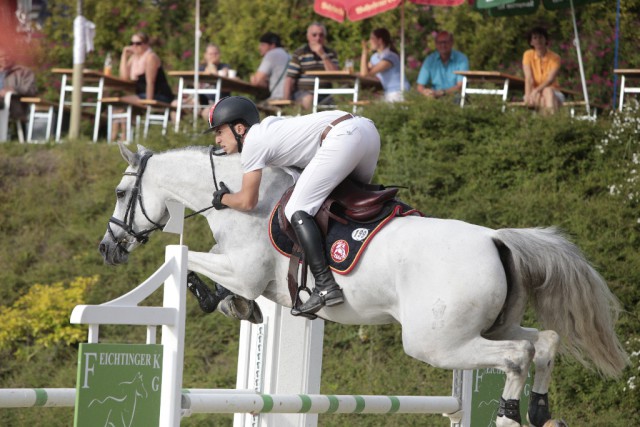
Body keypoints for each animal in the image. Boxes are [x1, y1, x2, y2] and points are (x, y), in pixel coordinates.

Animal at [101, 145, 632, 427]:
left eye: (122, 193)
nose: (109, 249)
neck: (237, 195)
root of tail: (496, 239)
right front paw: (237, 307)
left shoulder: (244, 268)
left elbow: (194, 263)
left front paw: (216, 297)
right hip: (489, 327)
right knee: (545, 342)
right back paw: (539, 409)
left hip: (436, 342)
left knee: (517, 356)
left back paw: (506, 415)